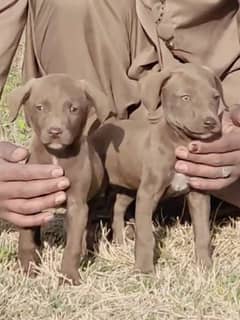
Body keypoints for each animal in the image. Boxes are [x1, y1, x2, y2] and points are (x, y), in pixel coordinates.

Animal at [8, 74, 111, 284]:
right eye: (40, 107)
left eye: (73, 109)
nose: (55, 131)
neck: (56, 156)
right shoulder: (30, 198)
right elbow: (26, 238)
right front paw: (28, 268)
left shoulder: (77, 205)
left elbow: (73, 245)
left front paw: (69, 276)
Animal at [90, 63, 229, 274]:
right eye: (185, 97)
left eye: (215, 97)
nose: (211, 122)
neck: (179, 142)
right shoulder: (148, 194)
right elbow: (145, 235)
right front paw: (144, 270)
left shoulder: (198, 194)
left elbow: (203, 233)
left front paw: (204, 266)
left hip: (128, 186)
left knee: (118, 208)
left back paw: (120, 241)